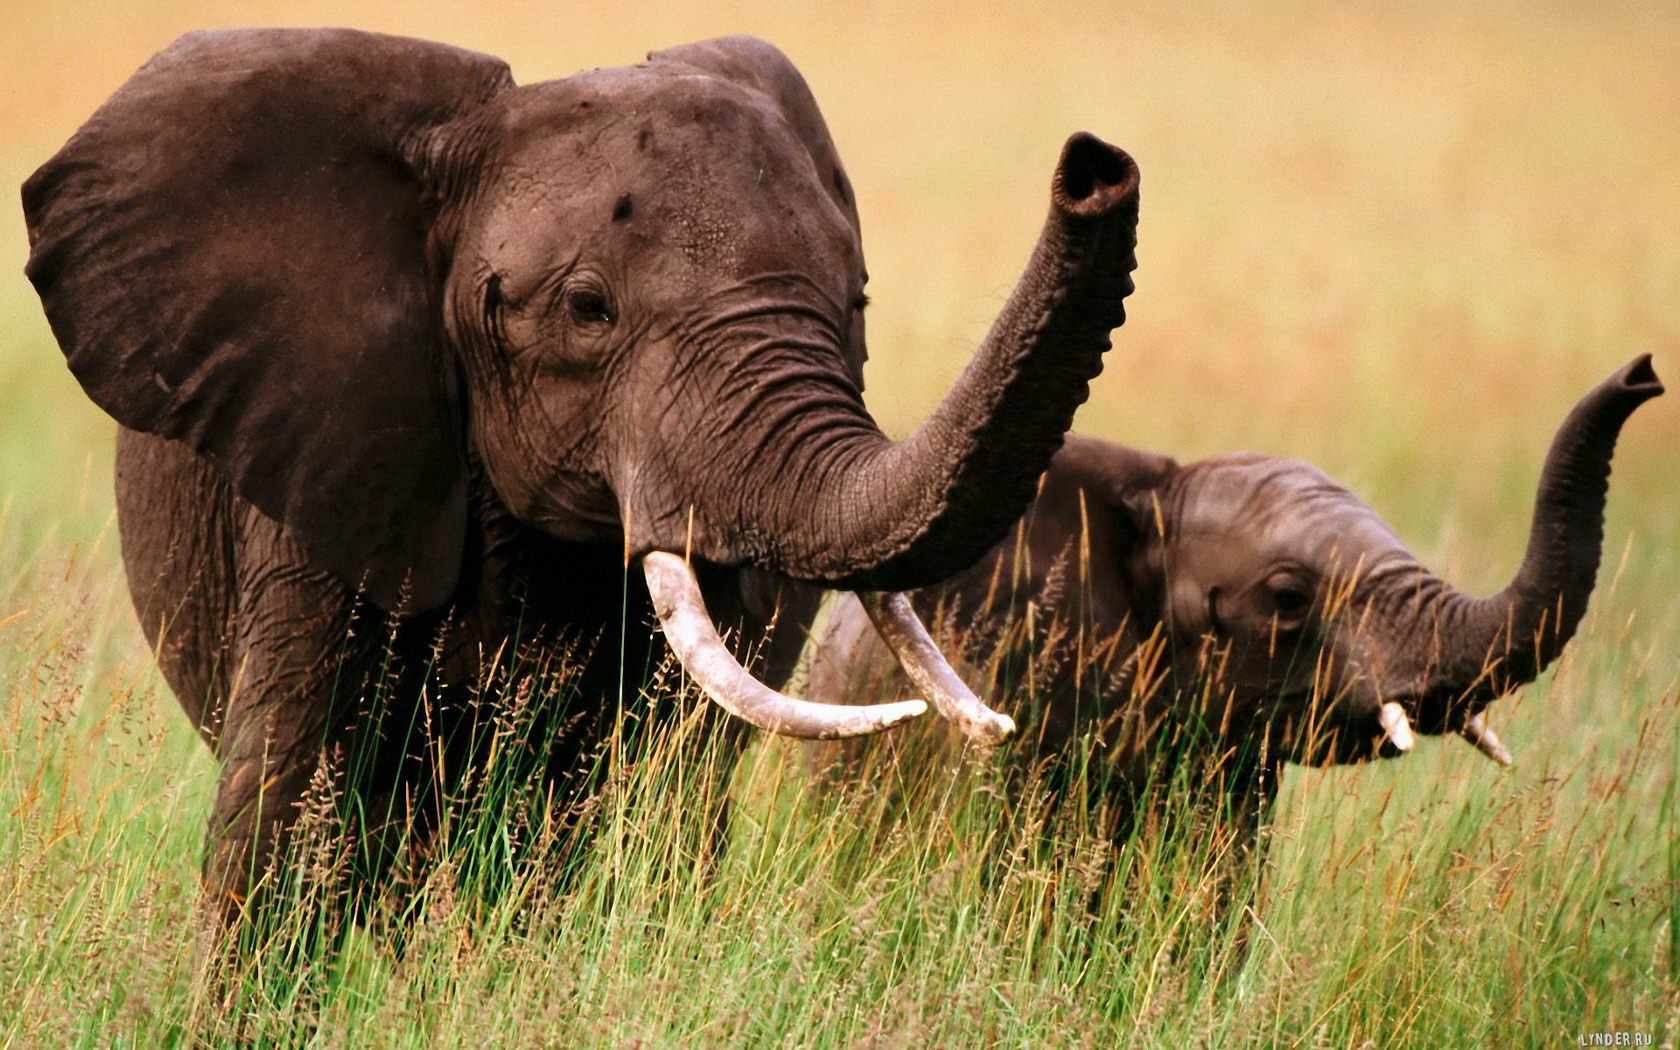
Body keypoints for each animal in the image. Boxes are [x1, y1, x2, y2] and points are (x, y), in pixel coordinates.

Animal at [22, 28, 1142, 920]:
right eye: (589, 309)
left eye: (855, 299)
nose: (1095, 166)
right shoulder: (330, 447)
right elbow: (290, 799)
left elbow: (654, 790)